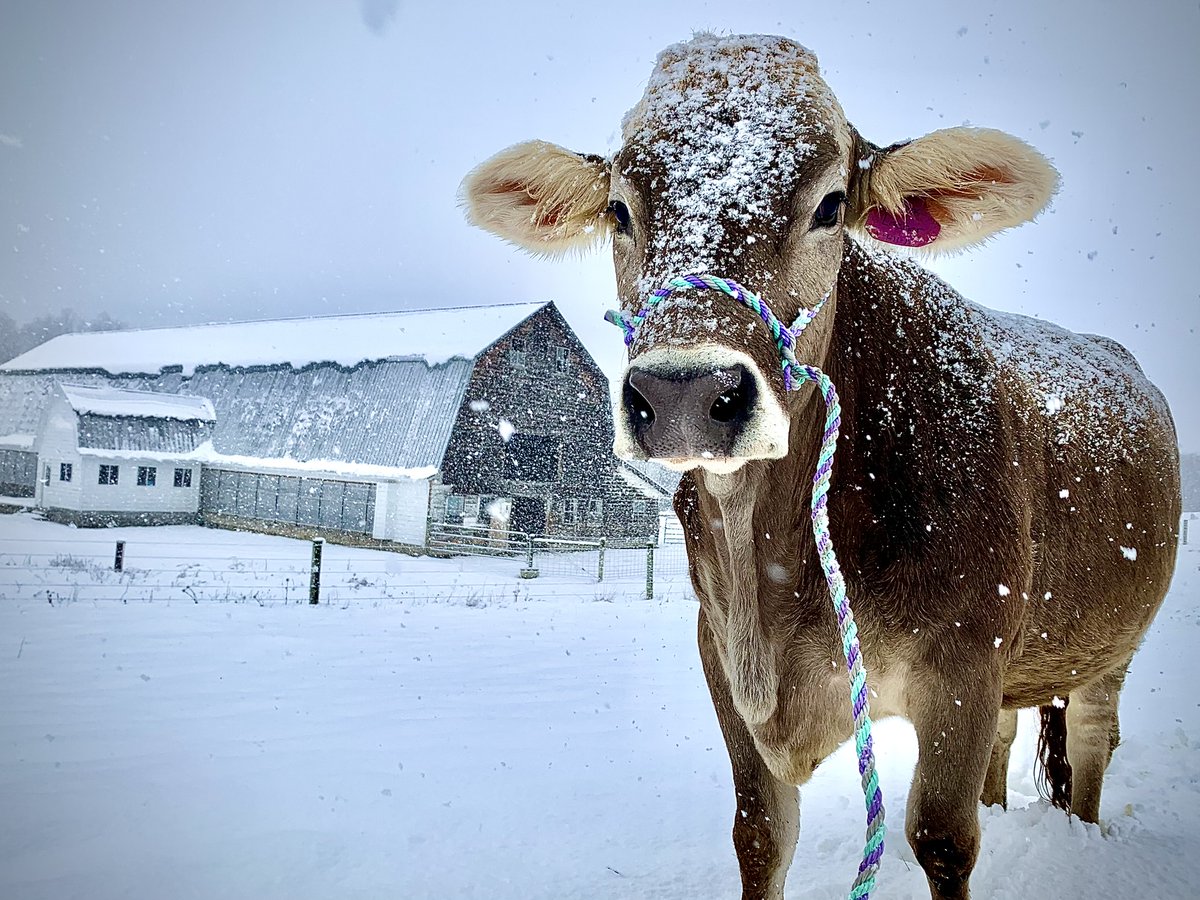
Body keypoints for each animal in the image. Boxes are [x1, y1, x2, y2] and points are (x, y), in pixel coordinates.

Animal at [460, 33, 1181, 900]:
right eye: (619, 209)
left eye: (831, 206)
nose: (684, 391)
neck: (768, 572)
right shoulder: (720, 655)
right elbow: (760, 833)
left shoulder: (964, 660)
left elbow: (943, 837)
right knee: (1012, 736)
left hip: (1112, 644)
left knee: (1093, 737)